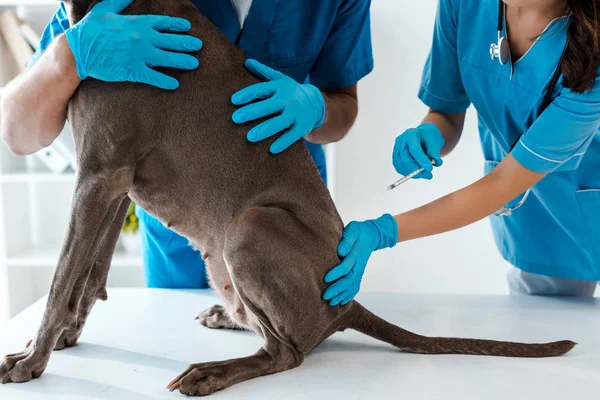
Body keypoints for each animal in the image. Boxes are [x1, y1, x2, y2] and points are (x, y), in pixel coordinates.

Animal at [0, 0, 576, 396]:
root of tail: (347, 303)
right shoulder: (114, 181)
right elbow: (89, 273)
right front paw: (62, 338)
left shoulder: (99, 173)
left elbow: (60, 280)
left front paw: (30, 361)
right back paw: (225, 318)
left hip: (249, 226)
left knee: (287, 352)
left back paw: (210, 372)